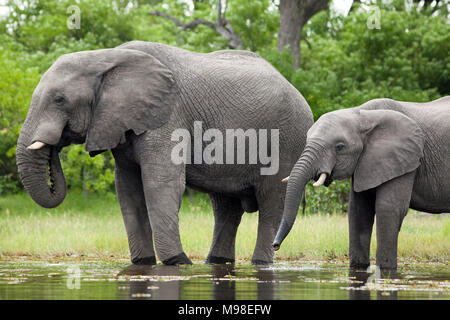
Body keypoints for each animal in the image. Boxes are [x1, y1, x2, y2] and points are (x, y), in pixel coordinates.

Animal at [16, 40, 312, 264]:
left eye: (59, 100)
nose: (55, 144)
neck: (105, 57)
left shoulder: (167, 117)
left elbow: (160, 184)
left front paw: (178, 262)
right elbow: (128, 189)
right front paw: (143, 263)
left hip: (288, 138)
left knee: (272, 200)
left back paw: (259, 262)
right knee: (225, 206)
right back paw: (216, 262)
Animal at [272, 97, 450, 270]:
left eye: (339, 147)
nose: (275, 246)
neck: (361, 115)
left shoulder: (405, 159)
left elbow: (389, 209)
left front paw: (385, 269)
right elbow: (358, 211)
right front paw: (359, 267)